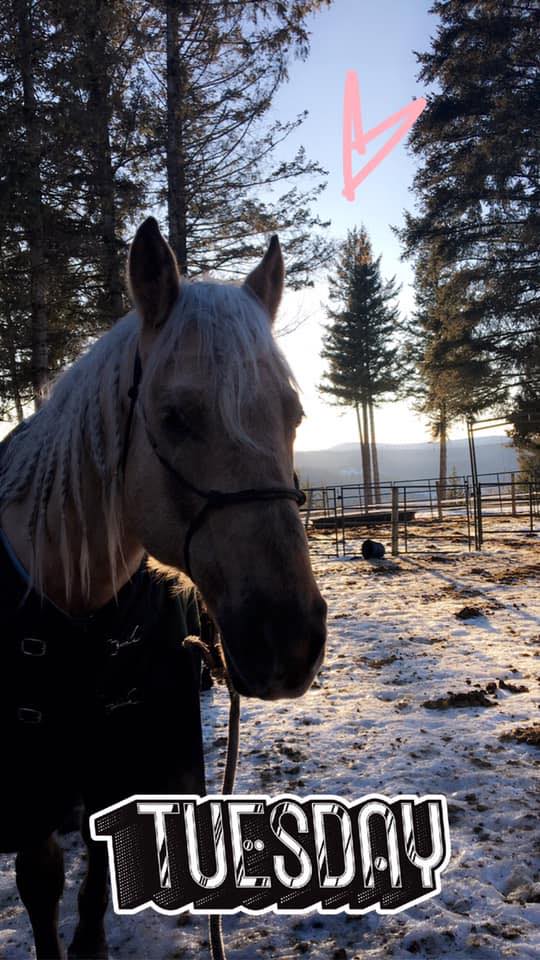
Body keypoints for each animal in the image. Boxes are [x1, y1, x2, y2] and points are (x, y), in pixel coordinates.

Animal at [0, 217, 327, 959]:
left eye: (294, 416)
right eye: (176, 418)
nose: (289, 641)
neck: (71, 605)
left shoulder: (120, 761)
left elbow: (95, 886)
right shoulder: (31, 788)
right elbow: (41, 886)